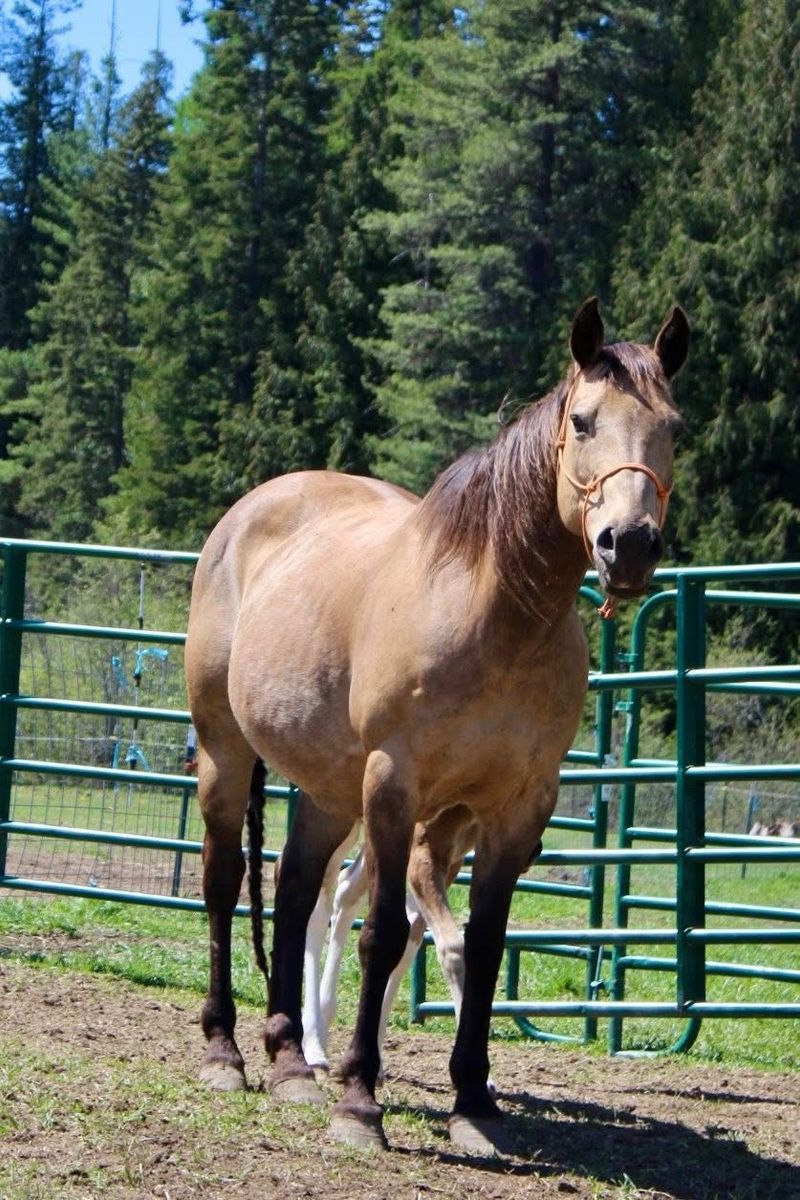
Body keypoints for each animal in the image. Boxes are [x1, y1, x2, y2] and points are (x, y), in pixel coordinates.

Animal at [185, 296, 689, 1153]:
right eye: (583, 421)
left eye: (675, 428)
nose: (628, 546)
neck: (494, 617)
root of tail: (249, 513)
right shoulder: (397, 786)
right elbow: (385, 936)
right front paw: (360, 1101)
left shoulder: (518, 808)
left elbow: (480, 946)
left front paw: (474, 1101)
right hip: (227, 753)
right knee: (225, 884)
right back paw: (226, 1052)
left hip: (329, 790)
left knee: (295, 890)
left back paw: (291, 1060)